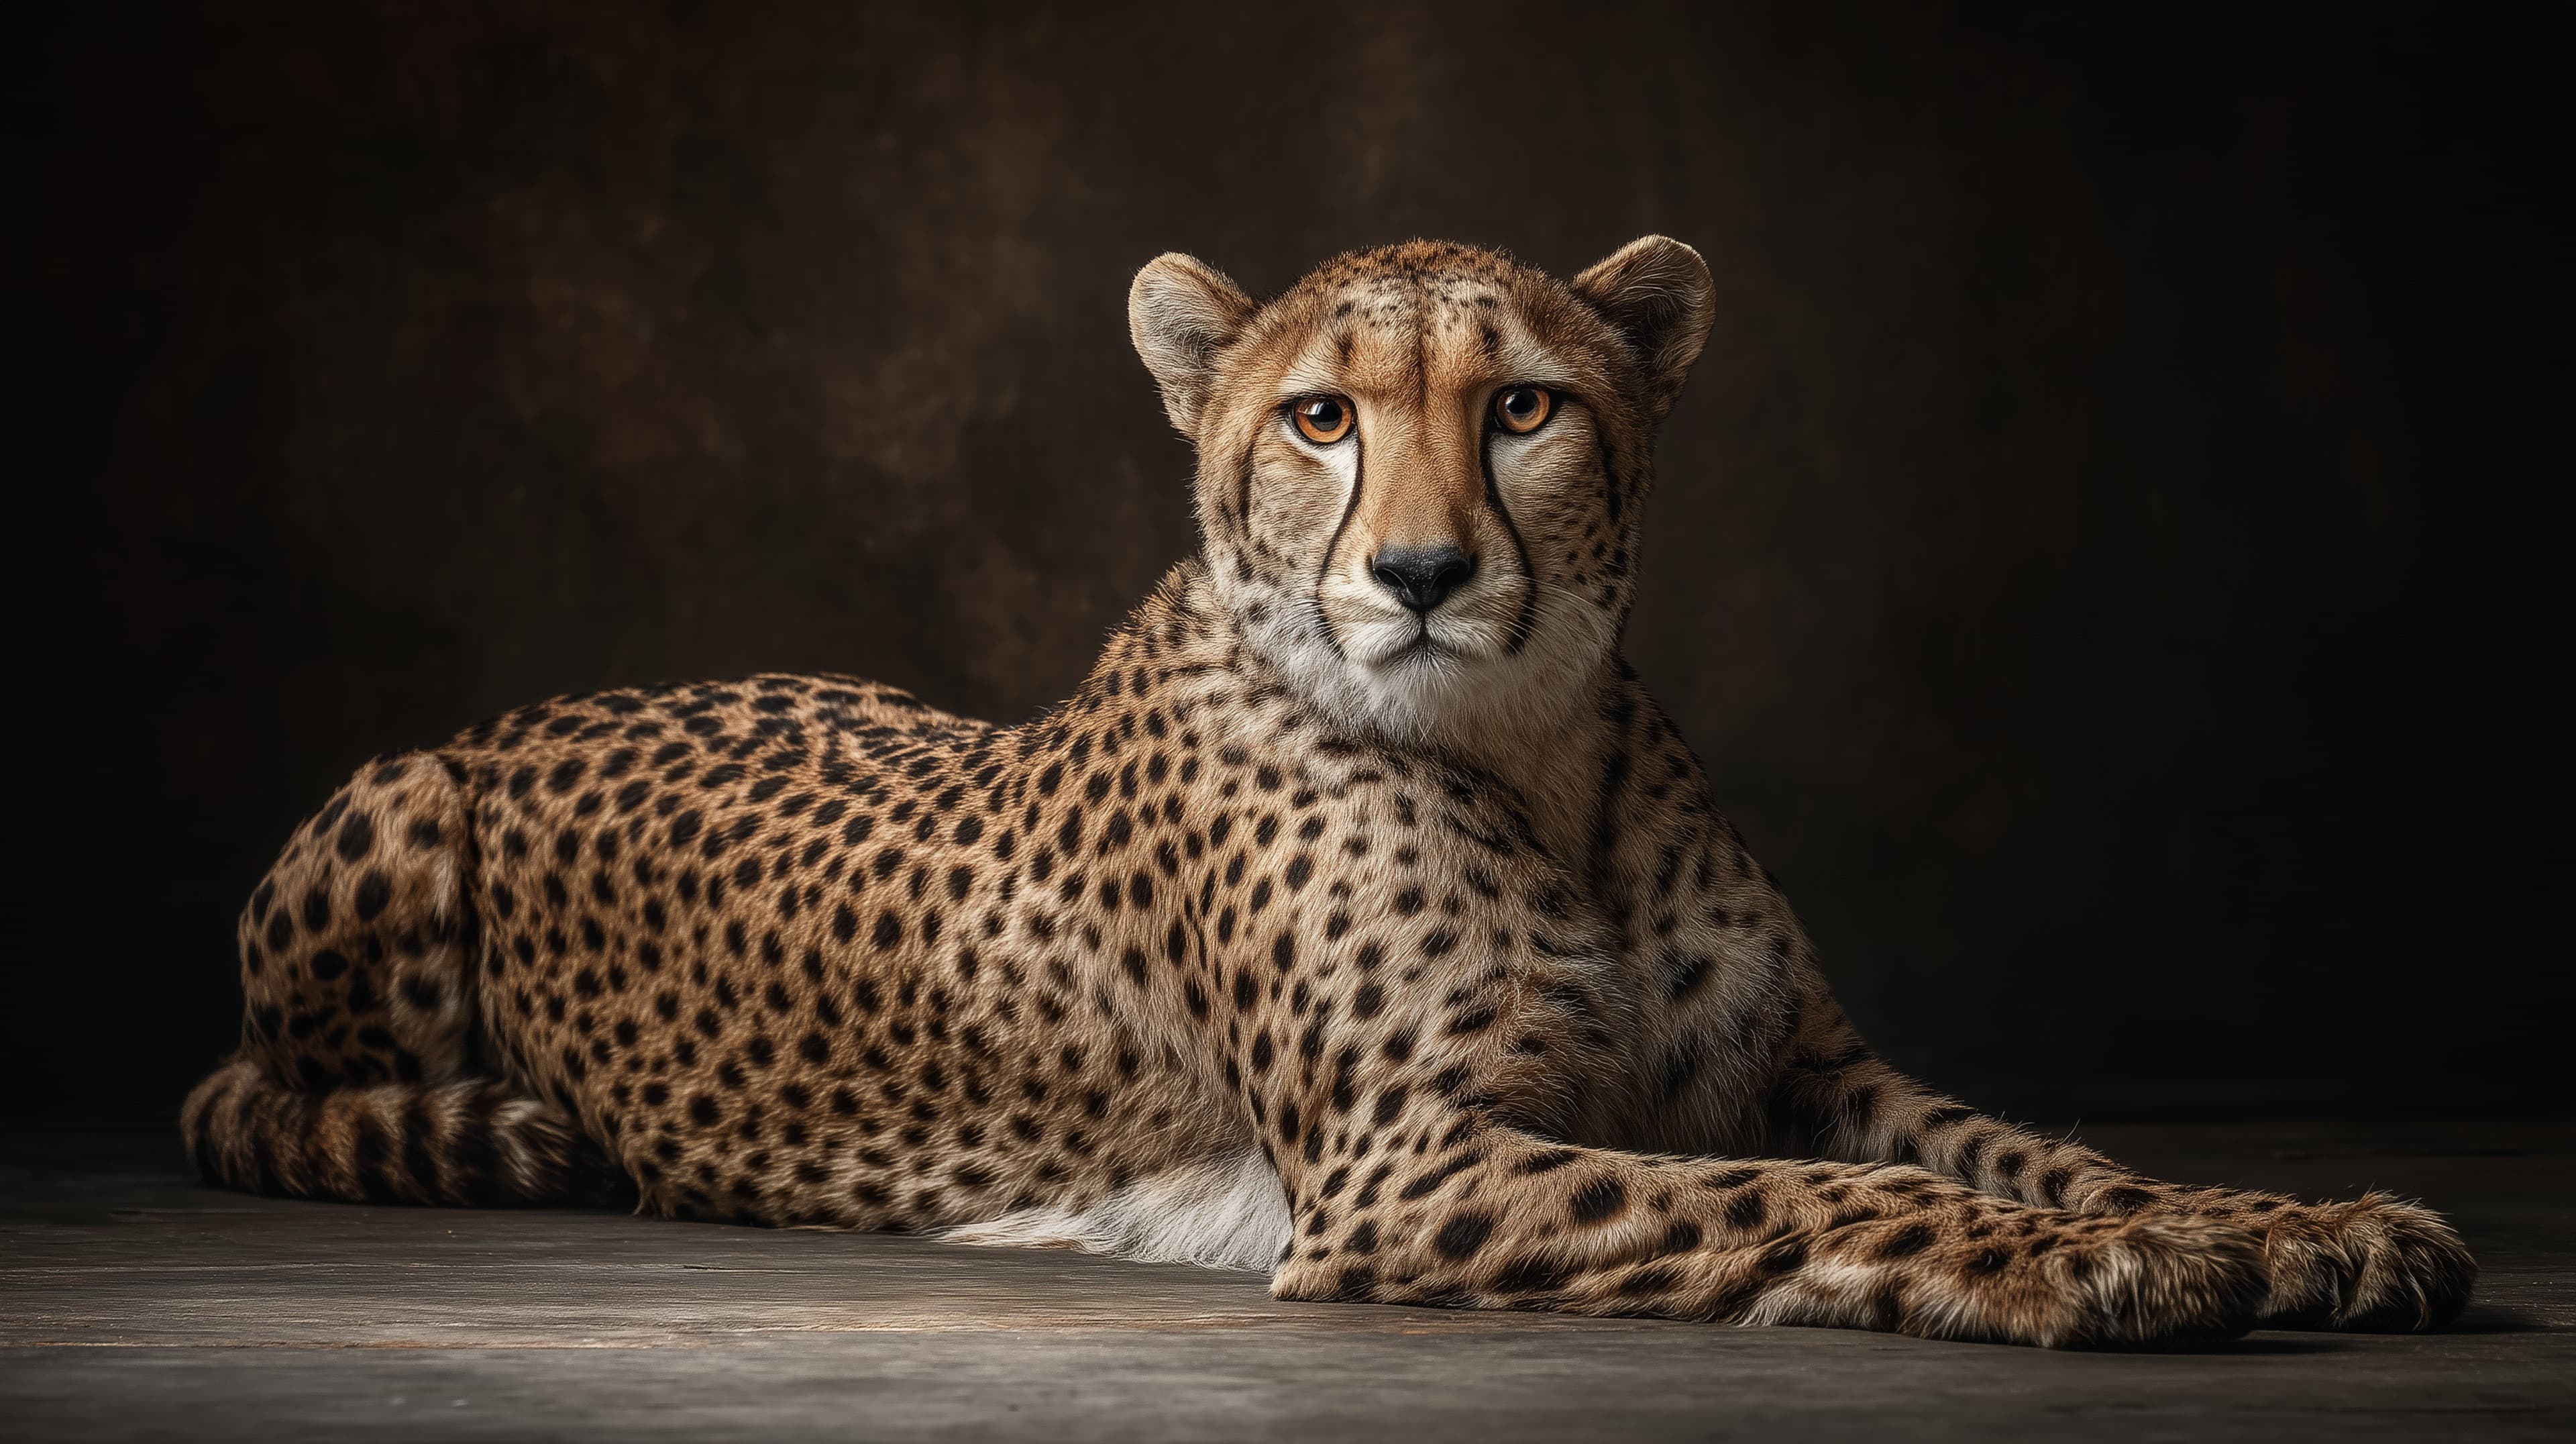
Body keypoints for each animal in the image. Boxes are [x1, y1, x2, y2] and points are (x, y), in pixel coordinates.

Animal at [183, 235, 2476, 1348]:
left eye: (1526, 407)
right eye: (1317, 420)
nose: (1426, 571)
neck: (1536, 752)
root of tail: (526, 708)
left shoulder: (1805, 1066)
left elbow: (2037, 1148)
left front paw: (2301, 1226)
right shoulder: (1405, 1168)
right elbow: (1827, 1203)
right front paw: (2095, 1277)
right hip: (395, 804)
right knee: (260, 1099)